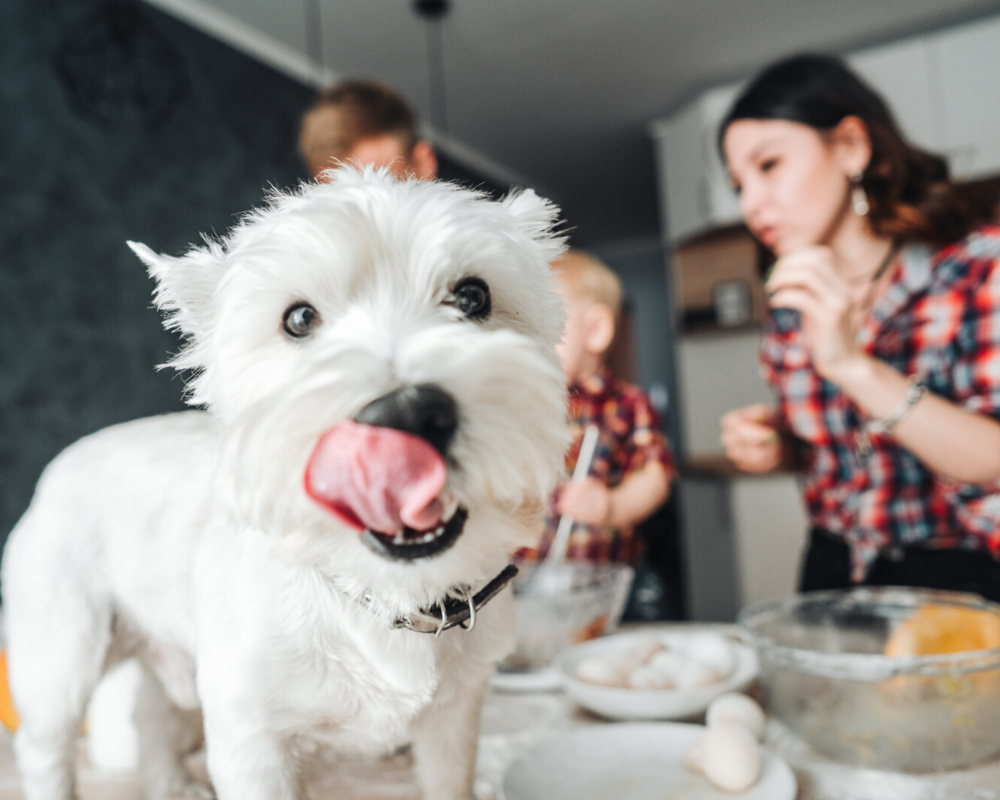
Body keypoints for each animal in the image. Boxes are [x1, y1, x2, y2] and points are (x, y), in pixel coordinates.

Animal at [0, 169, 568, 800]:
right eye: (298, 319)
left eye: (473, 297)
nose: (407, 414)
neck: (382, 594)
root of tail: (60, 464)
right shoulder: (251, 739)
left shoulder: (456, 718)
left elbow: (451, 781)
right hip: (61, 653)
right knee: (46, 745)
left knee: (152, 713)